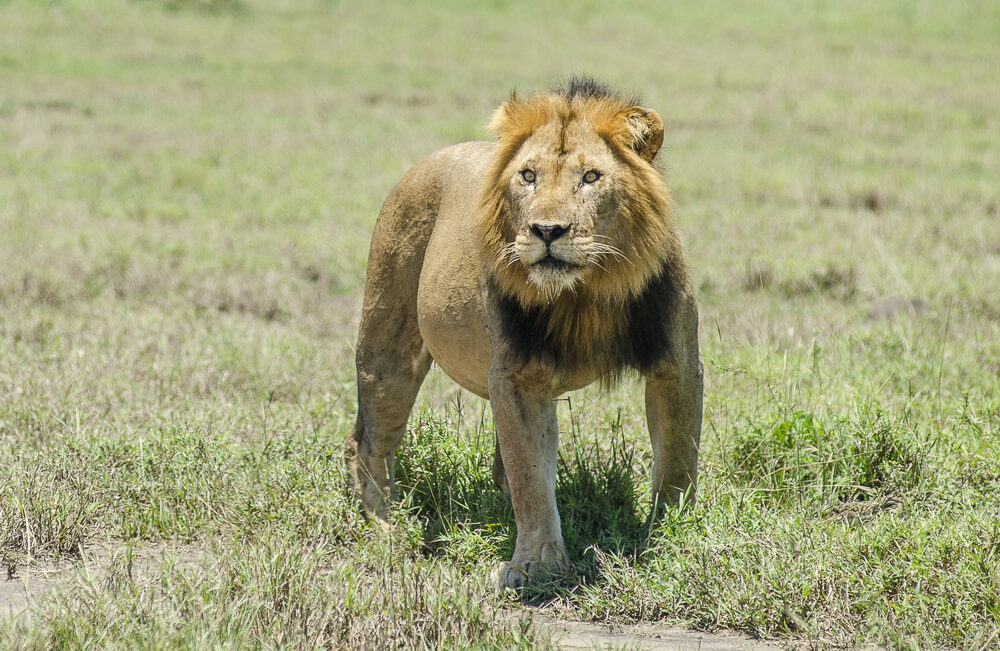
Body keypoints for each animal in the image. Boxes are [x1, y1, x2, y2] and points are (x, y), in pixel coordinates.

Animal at [345, 77, 703, 589]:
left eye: (591, 177)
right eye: (528, 176)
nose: (546, 230)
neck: (585, 293)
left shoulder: (677, 364)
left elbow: (677, 458)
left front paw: (674, 533)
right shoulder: (518, 374)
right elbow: (531, 476)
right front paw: (537, 566)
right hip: (387, 345)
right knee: (369, 439)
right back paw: (385, 526)